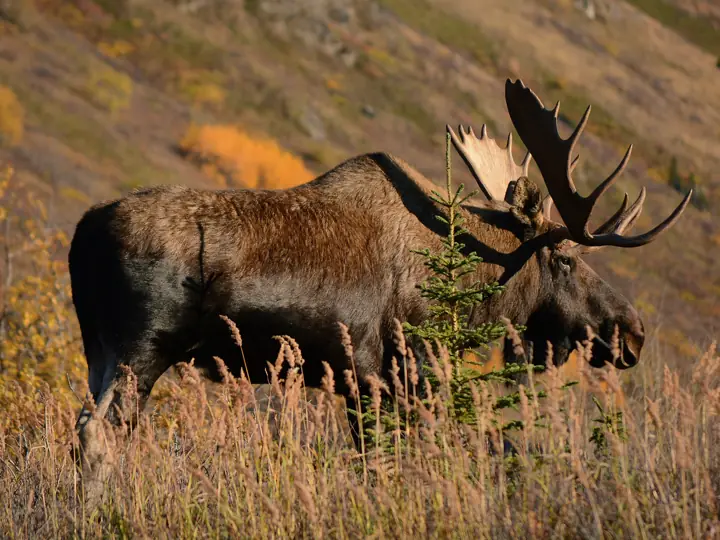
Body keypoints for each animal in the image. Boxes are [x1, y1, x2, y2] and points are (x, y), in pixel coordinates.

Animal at [68, 79, 691, 494]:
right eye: (565, 258)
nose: (632, 333)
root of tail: (82, 234)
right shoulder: (386, 375)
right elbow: (385, 467)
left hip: (99, 349)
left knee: (82, 428)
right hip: (143, 348)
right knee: (99, 436)